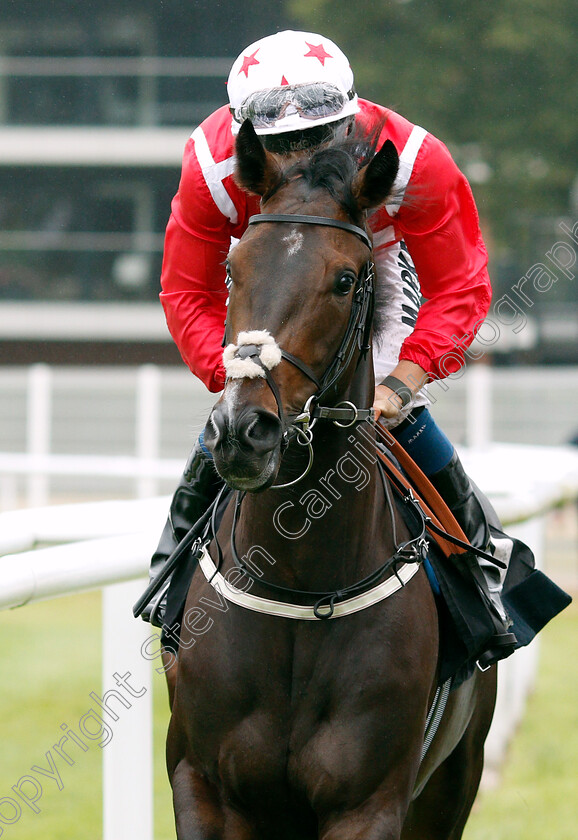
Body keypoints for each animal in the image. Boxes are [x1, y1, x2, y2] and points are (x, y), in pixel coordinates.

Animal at [166, 123, 496, 840]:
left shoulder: (368, 802)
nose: (242, 431)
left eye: (345, 280)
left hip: (454, 780)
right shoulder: (203, 785)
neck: (298, 578)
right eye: (233, 270)